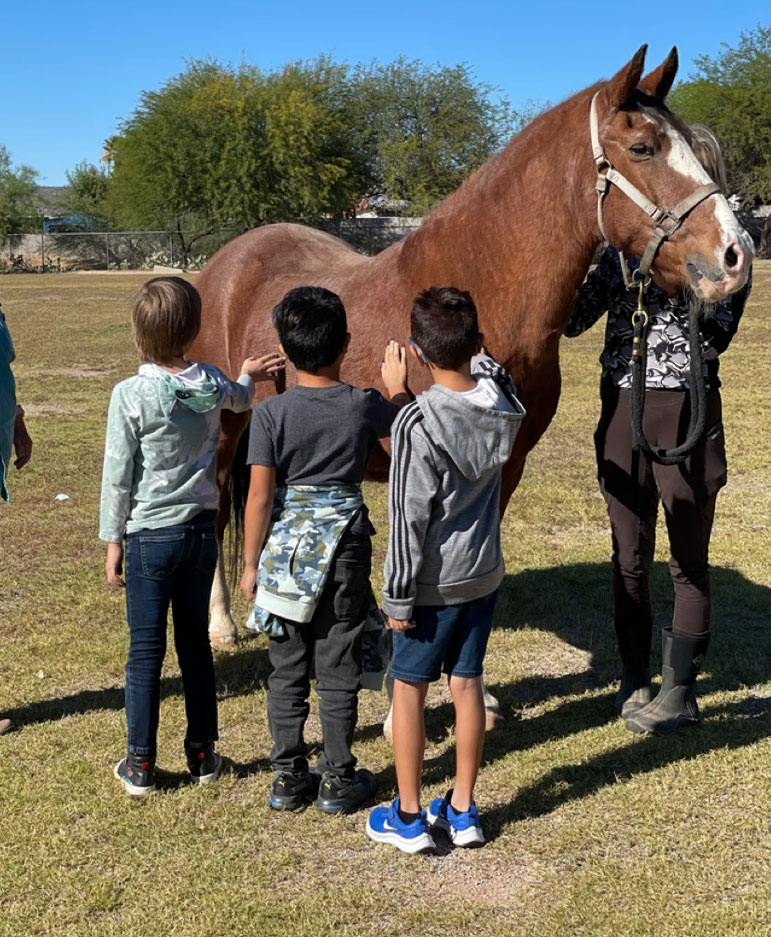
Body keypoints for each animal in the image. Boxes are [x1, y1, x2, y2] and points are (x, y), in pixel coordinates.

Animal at [193, 47, 752, 676]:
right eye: (642, 148)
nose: (736, 255)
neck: (476, 291)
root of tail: (230, 258)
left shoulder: (504, 467)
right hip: (227, 425)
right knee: (217, 509)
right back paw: (222, 625)